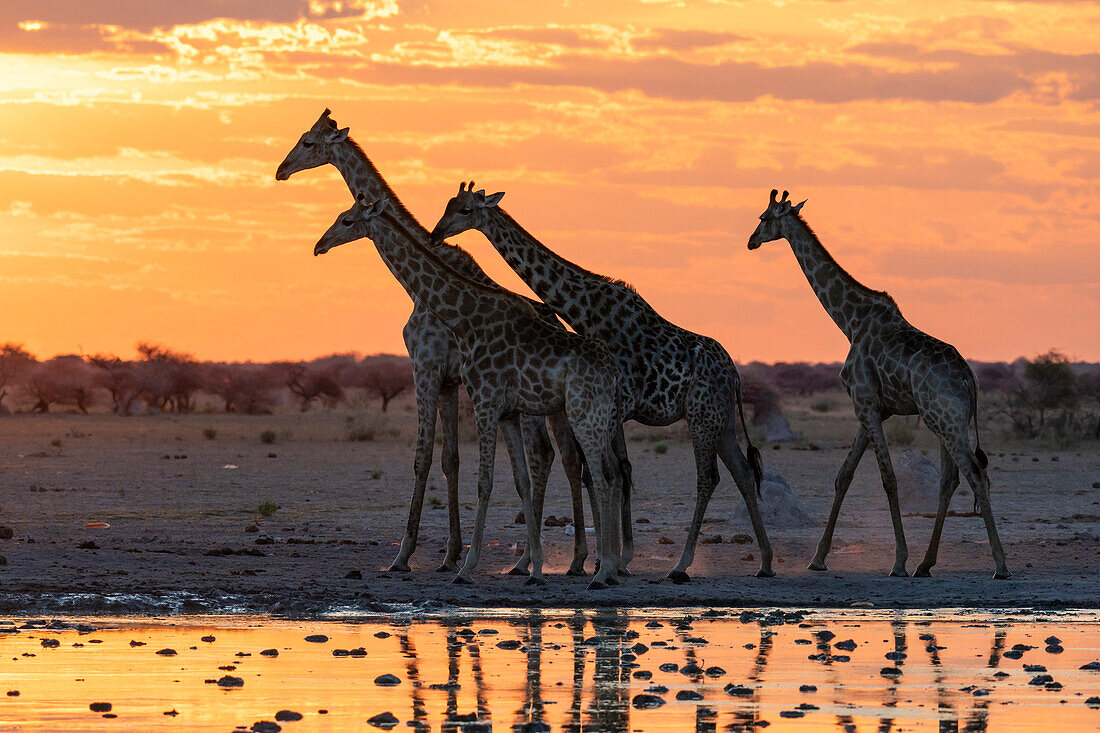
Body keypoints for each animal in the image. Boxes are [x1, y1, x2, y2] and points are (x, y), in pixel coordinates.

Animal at [279, 110, 598, 576]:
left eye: (307, 141)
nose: (281, 170)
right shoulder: (450, 381)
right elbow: (451, 461)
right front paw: (449, 554)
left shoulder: (427, 367)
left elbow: (424, 458)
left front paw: (405, 554)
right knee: (568, 458)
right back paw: (559, 558)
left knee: (554, 456)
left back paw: (553, 560)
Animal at [319, 193, 629, 589]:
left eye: (346, 220)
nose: (320, 245)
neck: (467, 317)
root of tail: (613, 371)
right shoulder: (504, 409)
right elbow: (519, 480)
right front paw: (534, 569)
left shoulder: (479, 398)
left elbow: (482, 481)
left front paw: (463, 567)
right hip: (595, 418)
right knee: (607, 471)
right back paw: (603, 566)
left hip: (583, 415)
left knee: (601, 473)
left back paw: (602, 571)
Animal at [429, 183, 774, 581]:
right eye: (448, 204)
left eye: (466, 210)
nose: (435, 233)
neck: (584, 308)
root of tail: (734, 375)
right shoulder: (612, 407)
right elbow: (615, 471)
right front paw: (612, 559)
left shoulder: (616, 404)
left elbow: (608, 471)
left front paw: (609, 560)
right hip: (721, 420)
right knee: (744, 473)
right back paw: (765, 561)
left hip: (702, 418)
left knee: (708, 478)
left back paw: (681, 563)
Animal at [743, 191, 1007, 581]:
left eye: (764, 217)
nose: (751, 241)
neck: (849, 322)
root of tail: (969, 378)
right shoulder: (871, 410)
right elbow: (844, 475)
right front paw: (818, 558)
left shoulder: (865, 403)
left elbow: (888, 477)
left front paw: (898, 561)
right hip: (947, 421)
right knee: (950, 480)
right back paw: (926, 564)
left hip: (943, 420)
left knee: (975, 474)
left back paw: (999, 565)